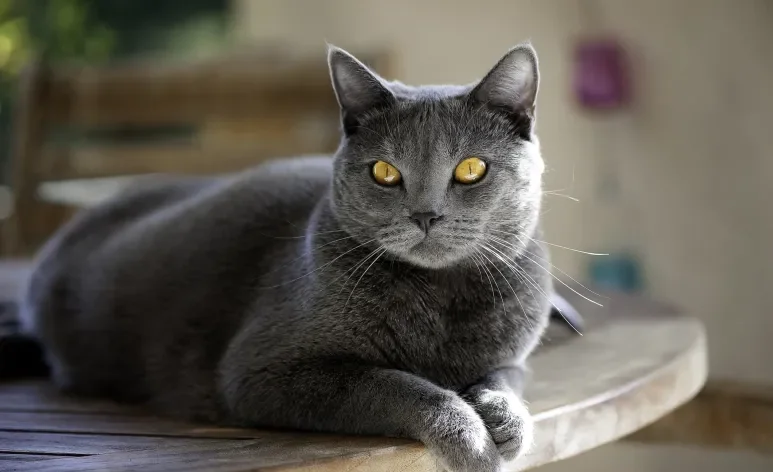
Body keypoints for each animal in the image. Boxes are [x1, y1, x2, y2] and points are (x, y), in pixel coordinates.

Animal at [21, 43, 552, 468]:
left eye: (471, 168)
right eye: (384, 172)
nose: (426, 215)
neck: (441, 299)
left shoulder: (514, 355)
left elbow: (508, 377)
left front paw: (506, 419)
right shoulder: (262, 373)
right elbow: (395, 384)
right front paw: (469, 439)